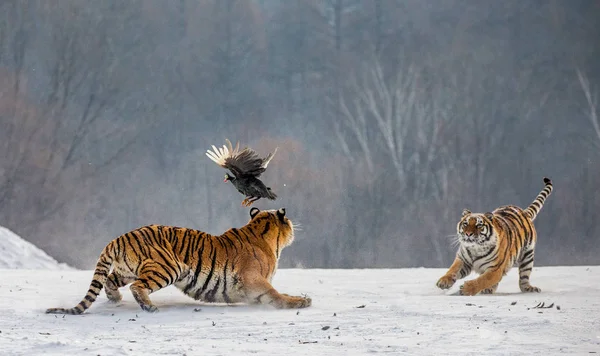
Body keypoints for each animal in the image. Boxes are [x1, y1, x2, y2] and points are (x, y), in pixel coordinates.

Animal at [44, 206, 312, 314]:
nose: (294, 226)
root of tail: (118, 238)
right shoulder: (253, 281)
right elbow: (275, 294)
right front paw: (300, 302)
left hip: (126, 270)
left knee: (110, 280)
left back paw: (115, 299)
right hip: (166, 267)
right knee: (137, 286)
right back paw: (149, 307)